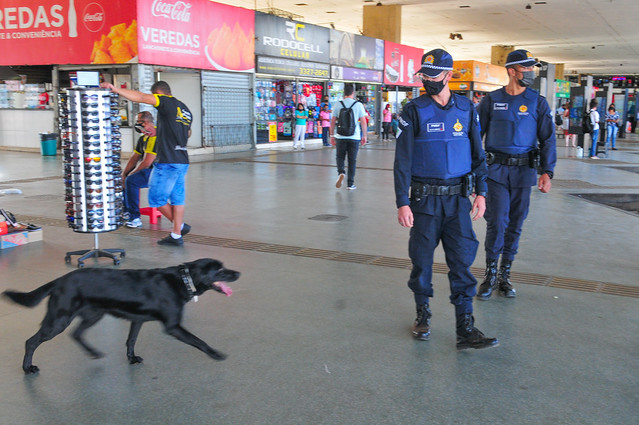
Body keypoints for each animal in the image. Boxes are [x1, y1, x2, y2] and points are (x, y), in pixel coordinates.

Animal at [3, 256, 238, 372]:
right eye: (219, 270)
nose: (238, 273)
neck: (183, 279)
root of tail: (60, 280)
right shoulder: (173, 327)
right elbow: (199, 341)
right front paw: (216, 354)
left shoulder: (137, 320)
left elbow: (130, 340)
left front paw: (131, 358)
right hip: (58, 320)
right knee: (31, 342)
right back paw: (27, 368)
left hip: (93, 315)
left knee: (76, 334)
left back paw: (94, 352)